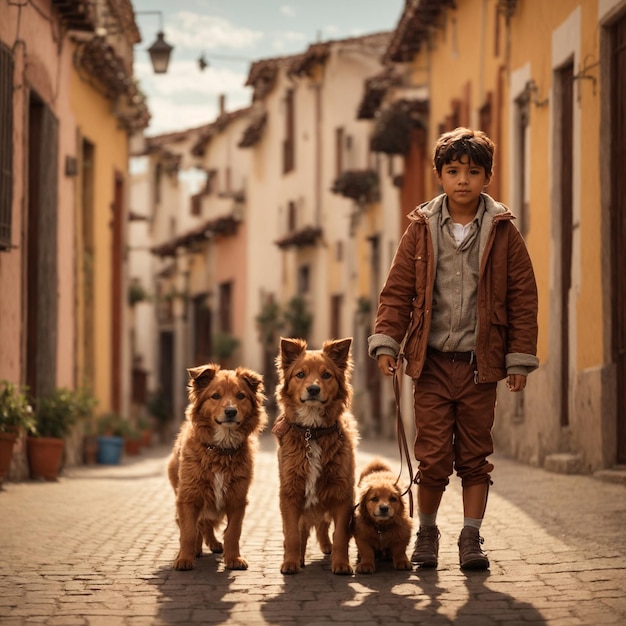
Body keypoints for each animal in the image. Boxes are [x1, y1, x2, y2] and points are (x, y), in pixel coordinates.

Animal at [166, 360, 266, 572]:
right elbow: (188, 532)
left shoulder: (237, 499)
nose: (230, 411)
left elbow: (233, 532)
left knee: (207, 524)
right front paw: (184, 558)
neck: (221, 450)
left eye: (240, 396)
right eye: (215, 396)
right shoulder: (188, 497)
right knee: (197, 526)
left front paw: (234, 558)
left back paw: (213, 543)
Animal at [272, 334, 358, 572]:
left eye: (326, 375)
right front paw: (291, 562)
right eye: (300, 374)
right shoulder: (290, 493)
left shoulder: (343, 494)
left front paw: (341, 564)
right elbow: (293, 534)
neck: (313, 432)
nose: (313, 389)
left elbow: (340, 535)